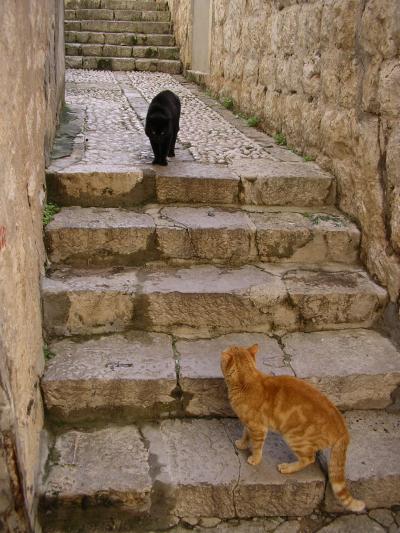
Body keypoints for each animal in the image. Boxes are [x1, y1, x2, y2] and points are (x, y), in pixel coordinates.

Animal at [220, 340, 368, 512]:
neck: (247, 381)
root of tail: (343, 428)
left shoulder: (259, 427)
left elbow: (256, 446)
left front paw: (254, 459)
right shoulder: (249, 423)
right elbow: (245, 433)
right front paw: (242, 444)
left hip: (295, 438)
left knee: (309, 459)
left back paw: (288, 468)